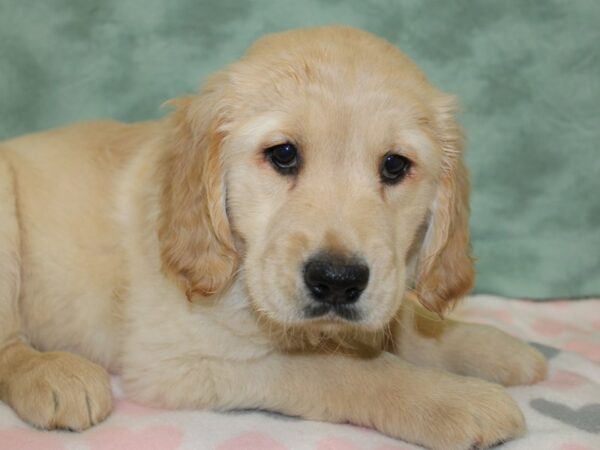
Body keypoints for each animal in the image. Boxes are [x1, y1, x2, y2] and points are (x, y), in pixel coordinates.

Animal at [0, 28, 544, 450]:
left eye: (394, 166)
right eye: (283, 154)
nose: (338, 281)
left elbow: (406, 320)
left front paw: (489, 347)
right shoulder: (184, 359)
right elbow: (344, 370)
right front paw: (453, 398)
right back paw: (52, 375)